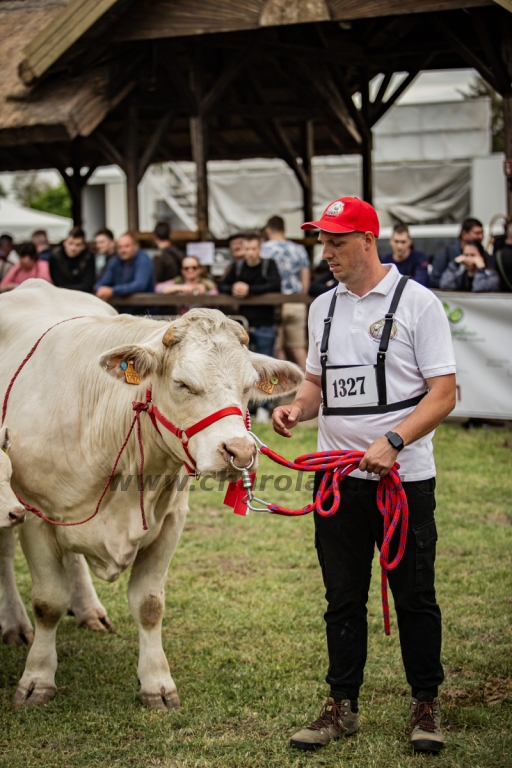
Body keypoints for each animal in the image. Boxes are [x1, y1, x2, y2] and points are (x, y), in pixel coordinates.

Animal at [0, 280, 302, 708]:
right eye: (183, 384)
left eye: (247, 387)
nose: (241, 452)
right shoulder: (34, 514)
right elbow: (47, 602)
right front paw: (37, 678)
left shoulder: (170, 520)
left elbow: (148, 604)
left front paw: (157, 683)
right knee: (7, 556)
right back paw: (14, 623)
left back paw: (89, 610)